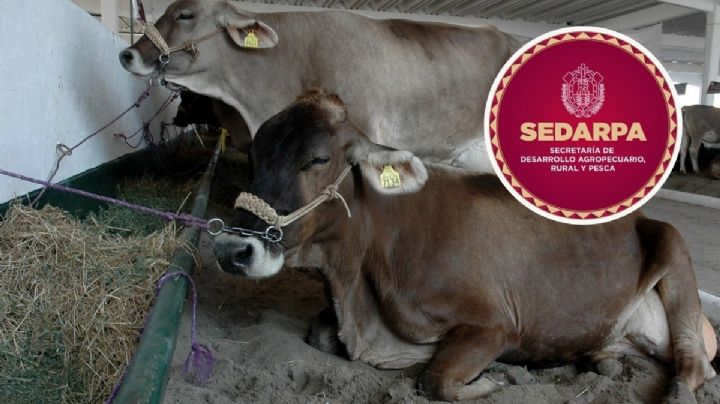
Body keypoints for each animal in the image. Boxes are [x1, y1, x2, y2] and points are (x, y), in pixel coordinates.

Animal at [212, 90, 717, 401]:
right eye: (255, 154)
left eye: (317, 159)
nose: (232, 250)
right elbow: (317, 334)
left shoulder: (494, 327)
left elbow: (434, 380)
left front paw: (495, 383)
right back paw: (602, 361)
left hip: (674, 247)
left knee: (694, 369)